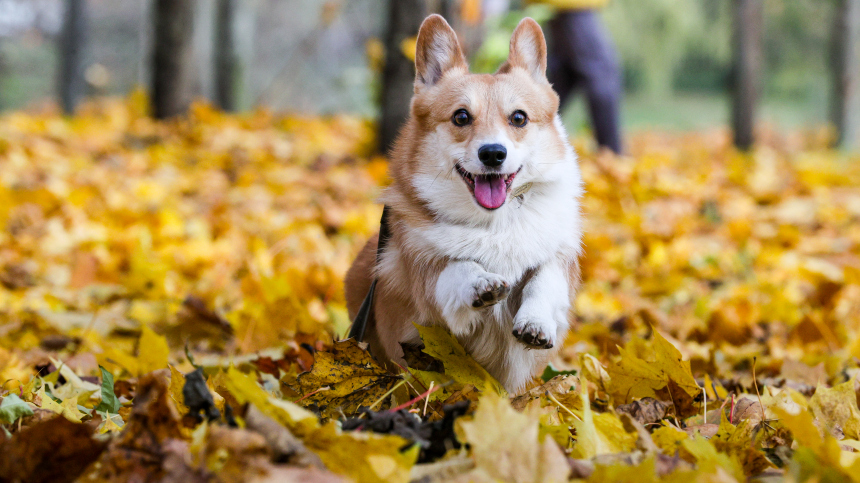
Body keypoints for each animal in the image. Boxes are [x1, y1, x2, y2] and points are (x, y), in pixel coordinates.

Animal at [344, 14, 584, 394]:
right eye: (460, 117)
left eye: (518, 118)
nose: (493, 154)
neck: (495, 222)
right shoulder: (425, 273)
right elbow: (456, 268)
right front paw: (480, 282)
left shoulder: (560, 258)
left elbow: (544, 280)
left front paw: (536, 322)